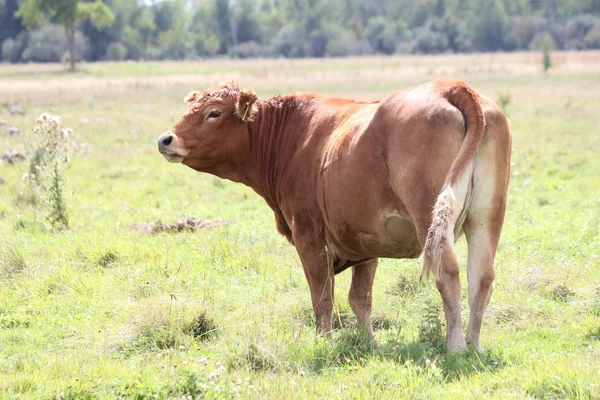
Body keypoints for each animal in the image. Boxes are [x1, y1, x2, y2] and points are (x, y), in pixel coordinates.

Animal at [156, 79, 510, 354]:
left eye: (213, 113)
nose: (165, 139)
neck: (292, 137)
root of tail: (450, 86)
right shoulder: (366, 240)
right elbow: (360, 299)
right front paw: (368, 342)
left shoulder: (309, 235)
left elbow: (322, 295)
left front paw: (323, 341)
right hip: (486, 219)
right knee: (481, 277)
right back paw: (474, 344)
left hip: (430, 219)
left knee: (448, 274)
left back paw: (456, 346)